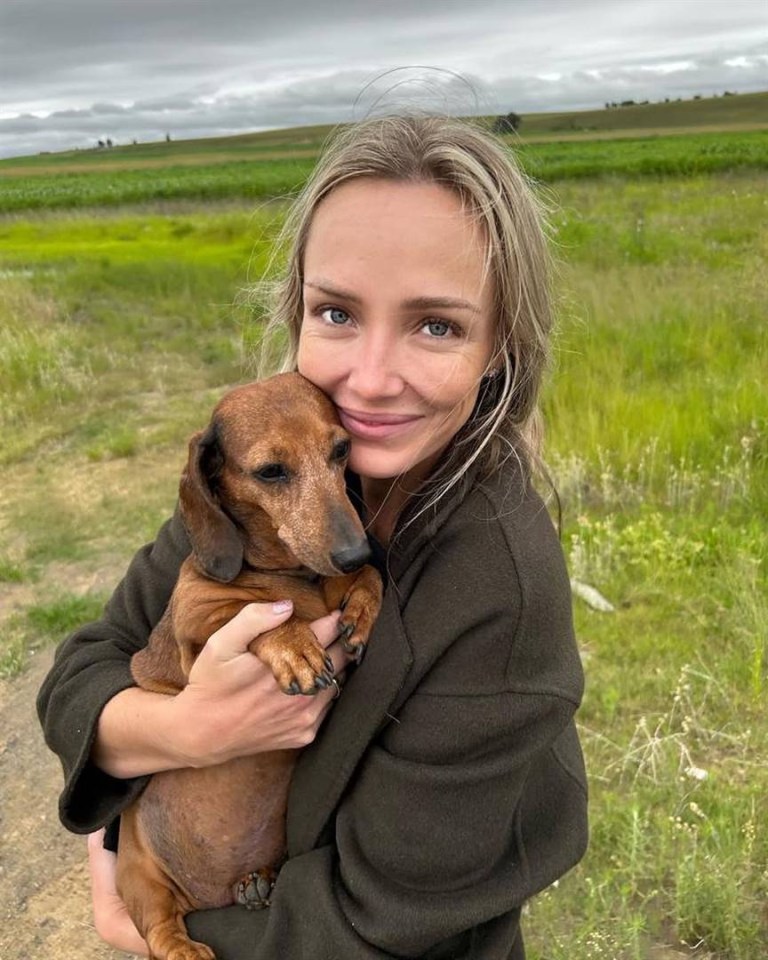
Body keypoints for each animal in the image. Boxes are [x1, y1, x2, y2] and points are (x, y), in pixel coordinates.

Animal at [115, 374, 384, 960]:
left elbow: (366, 584)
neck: (293, 576)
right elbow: (254, 613)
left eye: (341, 450)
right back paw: (186, 948)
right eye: (271, 471)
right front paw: (295, 644)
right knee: (160, 929)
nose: (356, 551)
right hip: (137, 873)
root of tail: (202, 897)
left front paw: (362, 604)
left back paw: (258, 882)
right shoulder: (199, 622)